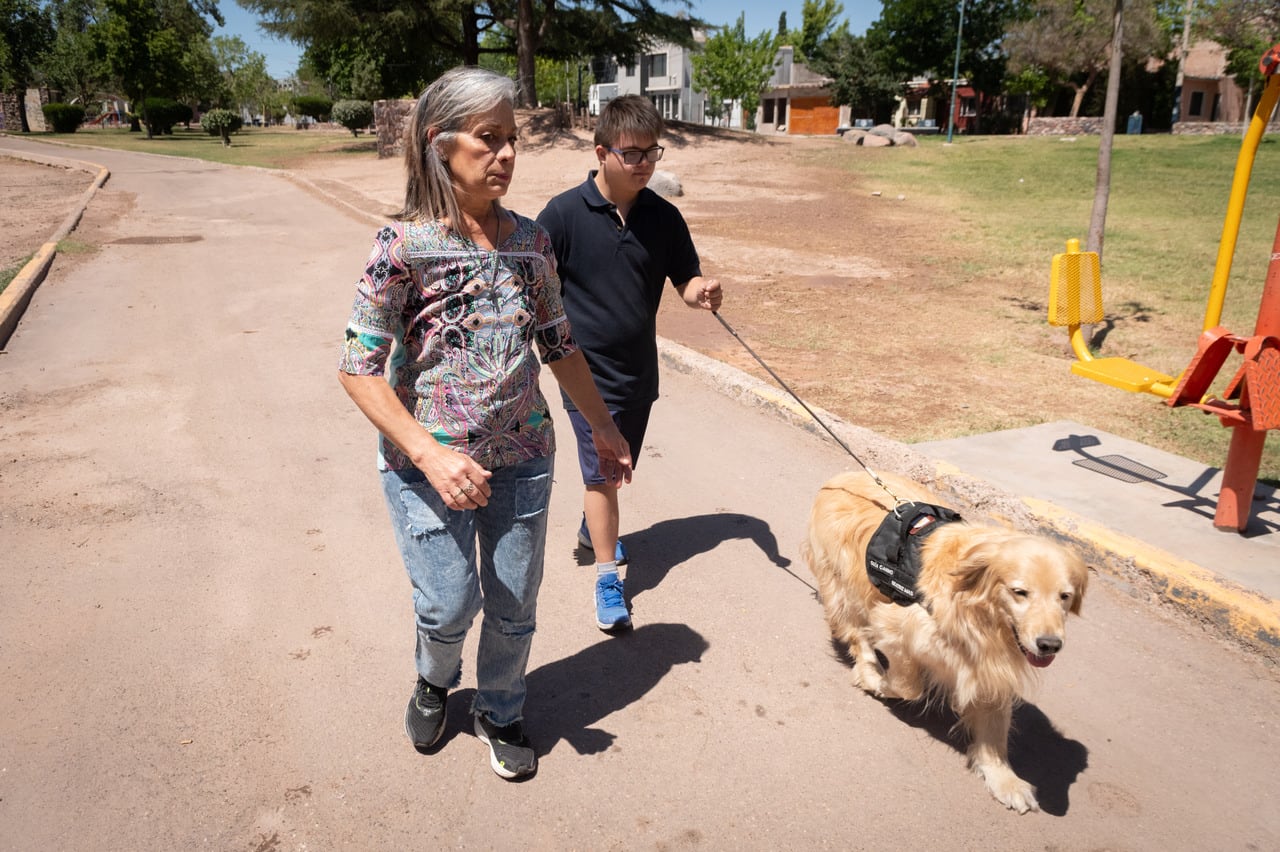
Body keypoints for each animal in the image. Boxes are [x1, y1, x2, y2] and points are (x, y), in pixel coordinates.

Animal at [803, 470, 1085, 808]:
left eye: (1065, 596)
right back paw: (869, 668)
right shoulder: (895, 623)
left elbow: (994, 726)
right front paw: (879, 682)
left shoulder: (989, 663)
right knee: (854, 631)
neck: (978, 614)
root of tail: (846, 474)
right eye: (1020, 592)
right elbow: (909, 686)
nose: (1050, 644)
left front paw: (1004, 778)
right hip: (843, 586)